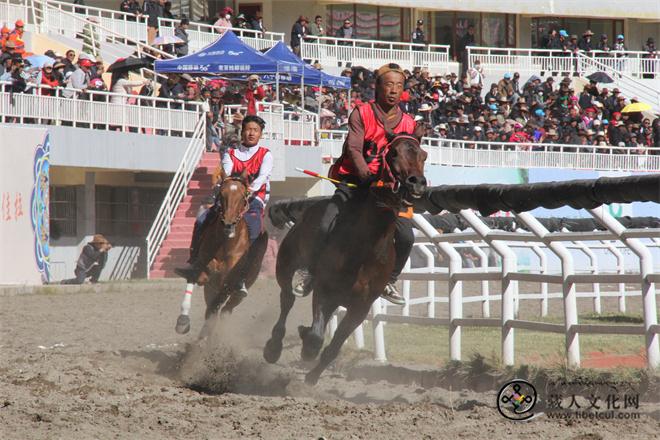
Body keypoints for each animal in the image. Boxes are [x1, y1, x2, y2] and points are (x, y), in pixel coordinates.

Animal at [175, 170, 270, 336]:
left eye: (243, 195)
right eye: (222, 193)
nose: (228, 224)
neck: (225, 243)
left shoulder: (228, 282)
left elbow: (217, 303)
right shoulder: (203, 267)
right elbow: (195, 277)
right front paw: (183, 321)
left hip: (241, 290)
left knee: (226, 308)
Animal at [262, 129, 428, 384]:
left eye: (423, 155)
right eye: (393, 153)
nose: (416, 183)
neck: (365, 250)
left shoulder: (360, 307)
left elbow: (334, 346)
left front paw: (312, 376)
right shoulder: (324, 290)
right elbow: (316, 338)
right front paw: (306, 348)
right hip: (286, 263)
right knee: (287, 298)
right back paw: (273, 347)